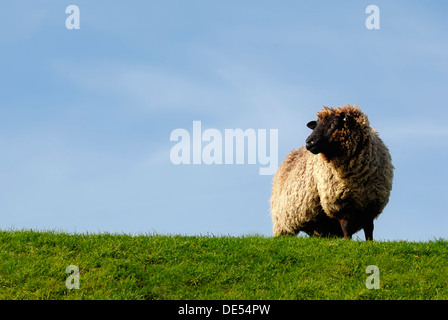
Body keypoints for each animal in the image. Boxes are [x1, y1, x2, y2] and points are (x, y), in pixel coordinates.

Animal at [270, 105, 392, 240]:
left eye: (334, 122)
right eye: (316, 124)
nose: (309, 142)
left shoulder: (370, 204)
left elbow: (369, 228)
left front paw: (369, 242)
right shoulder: (340, 203)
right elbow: (346, 226)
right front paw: (348, 241)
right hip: (284, 221)